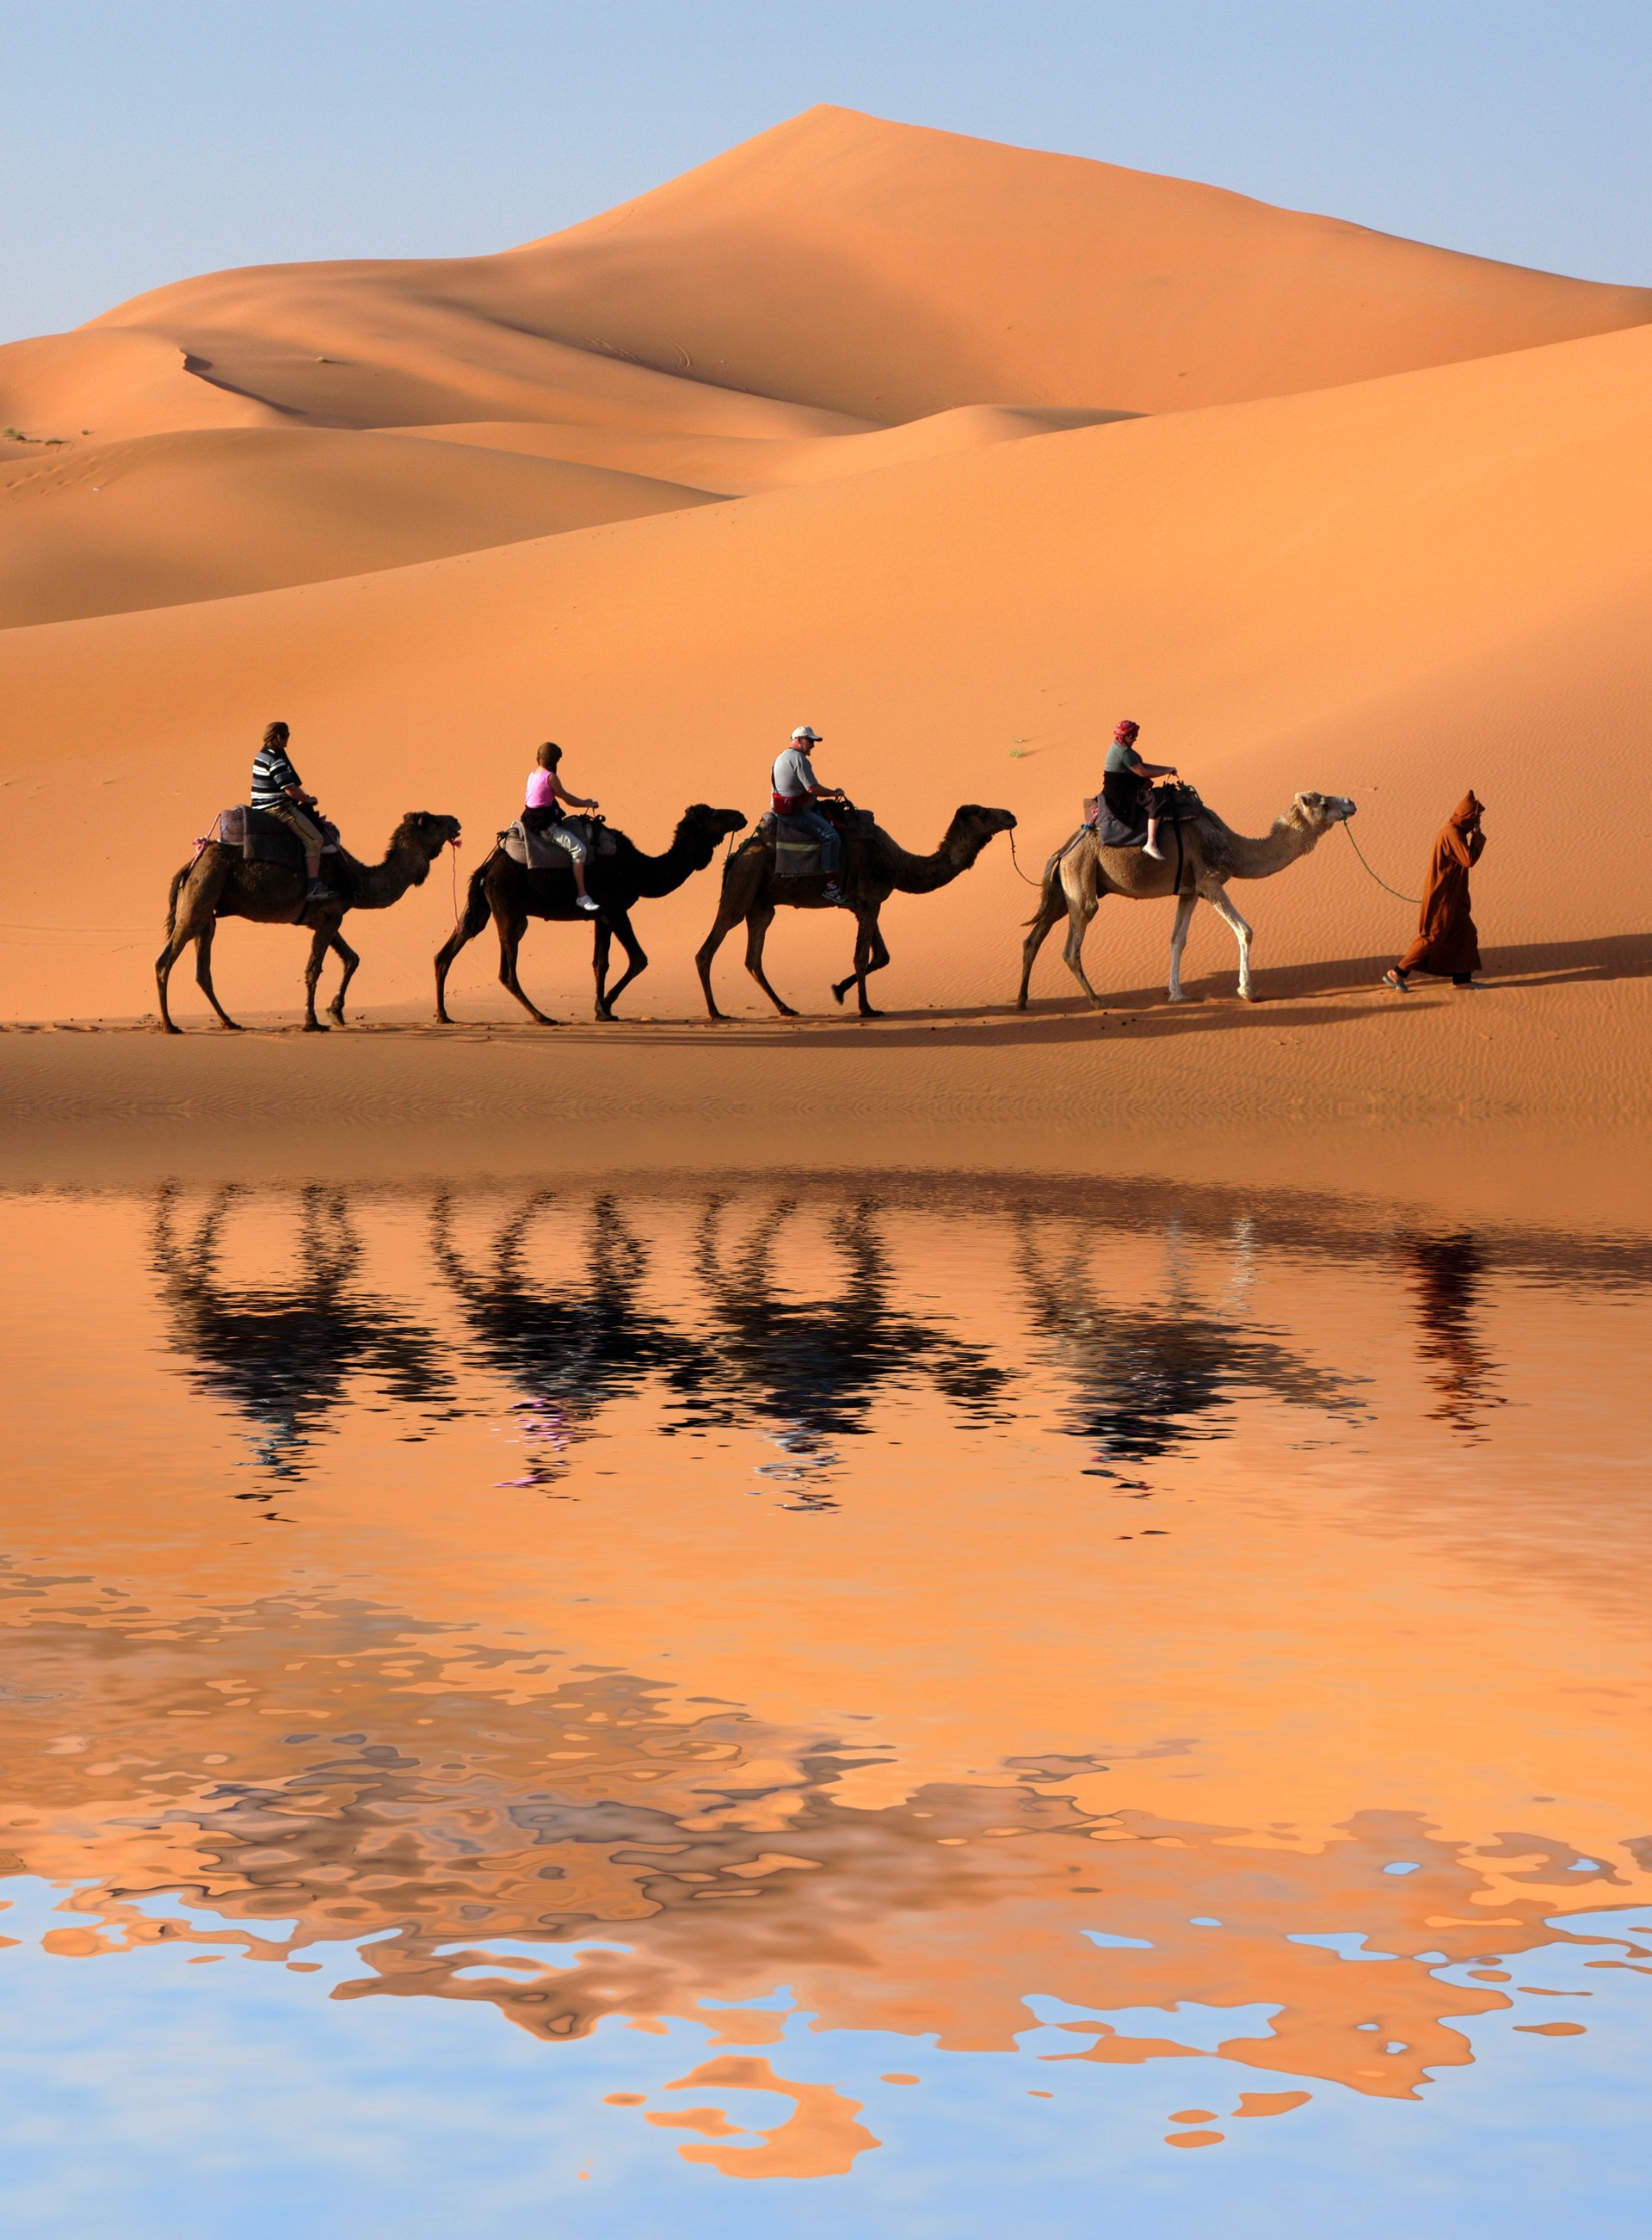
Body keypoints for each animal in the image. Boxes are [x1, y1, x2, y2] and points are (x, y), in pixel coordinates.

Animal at [157, 811, 460, 1034]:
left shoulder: (328, 918)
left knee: (202, 971)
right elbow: (314, 969)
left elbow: (352, 959)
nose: (456, 821)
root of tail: (190, 865)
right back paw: (170, 1026)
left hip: (207, 911)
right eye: (434, 821)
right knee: (164, 962)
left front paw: (336, 1012)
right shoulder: (329, 917)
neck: (359, 880)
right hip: (201, 894)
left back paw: (229, 1022)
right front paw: (312, 1022)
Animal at [434, 797, 747, 1026]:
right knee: (507, 971)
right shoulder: (617, 909)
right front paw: (604, 1005)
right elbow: (638, 959)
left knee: (449, 950)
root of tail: (488, 868)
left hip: (483, 909)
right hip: (510, 912)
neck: (639, 870)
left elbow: (601, 962)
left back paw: (444, 1016)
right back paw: (543, 1017)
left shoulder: (602, 915)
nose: (740, 816)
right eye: (715, 815)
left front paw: (602, 1010)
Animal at [689, 801, 1011, 1021]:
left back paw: (786, 1008)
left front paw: (838, 990)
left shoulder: (865, 904)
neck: (896, 863)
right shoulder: (870, 901)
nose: (1011, 815)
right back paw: (716, 1012)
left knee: (753, 958)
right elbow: (861, 957)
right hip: (743, 885)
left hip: (761, 905)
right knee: (709, 948)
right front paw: (866, 1008)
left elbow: (882, 956)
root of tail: (737, 854)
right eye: (983, 813)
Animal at [1011, 784, 1360, 1003]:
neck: (1233, 847)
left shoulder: (1190, 891)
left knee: (1034, 938)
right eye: (1323, 802)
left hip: (1063, 890)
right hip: (1082, 880)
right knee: (1072, 943)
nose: (1351, 802)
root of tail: (1063, 851)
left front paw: (1178, 994)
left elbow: (1177, 940)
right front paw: (1247, 992)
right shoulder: (1209, 881)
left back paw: (1023, 1001)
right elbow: (1245, 930)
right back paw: (1097, 1000)